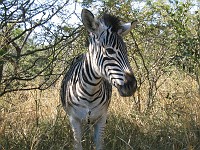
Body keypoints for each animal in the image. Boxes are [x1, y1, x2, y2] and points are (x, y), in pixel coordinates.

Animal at [60, 9, 137, 150]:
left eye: (126, 50)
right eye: (109, 51)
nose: (132, 86)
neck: (90, 92)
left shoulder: (101, 118)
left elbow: (99, 143)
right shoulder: (74, 119)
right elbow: (78, 144)